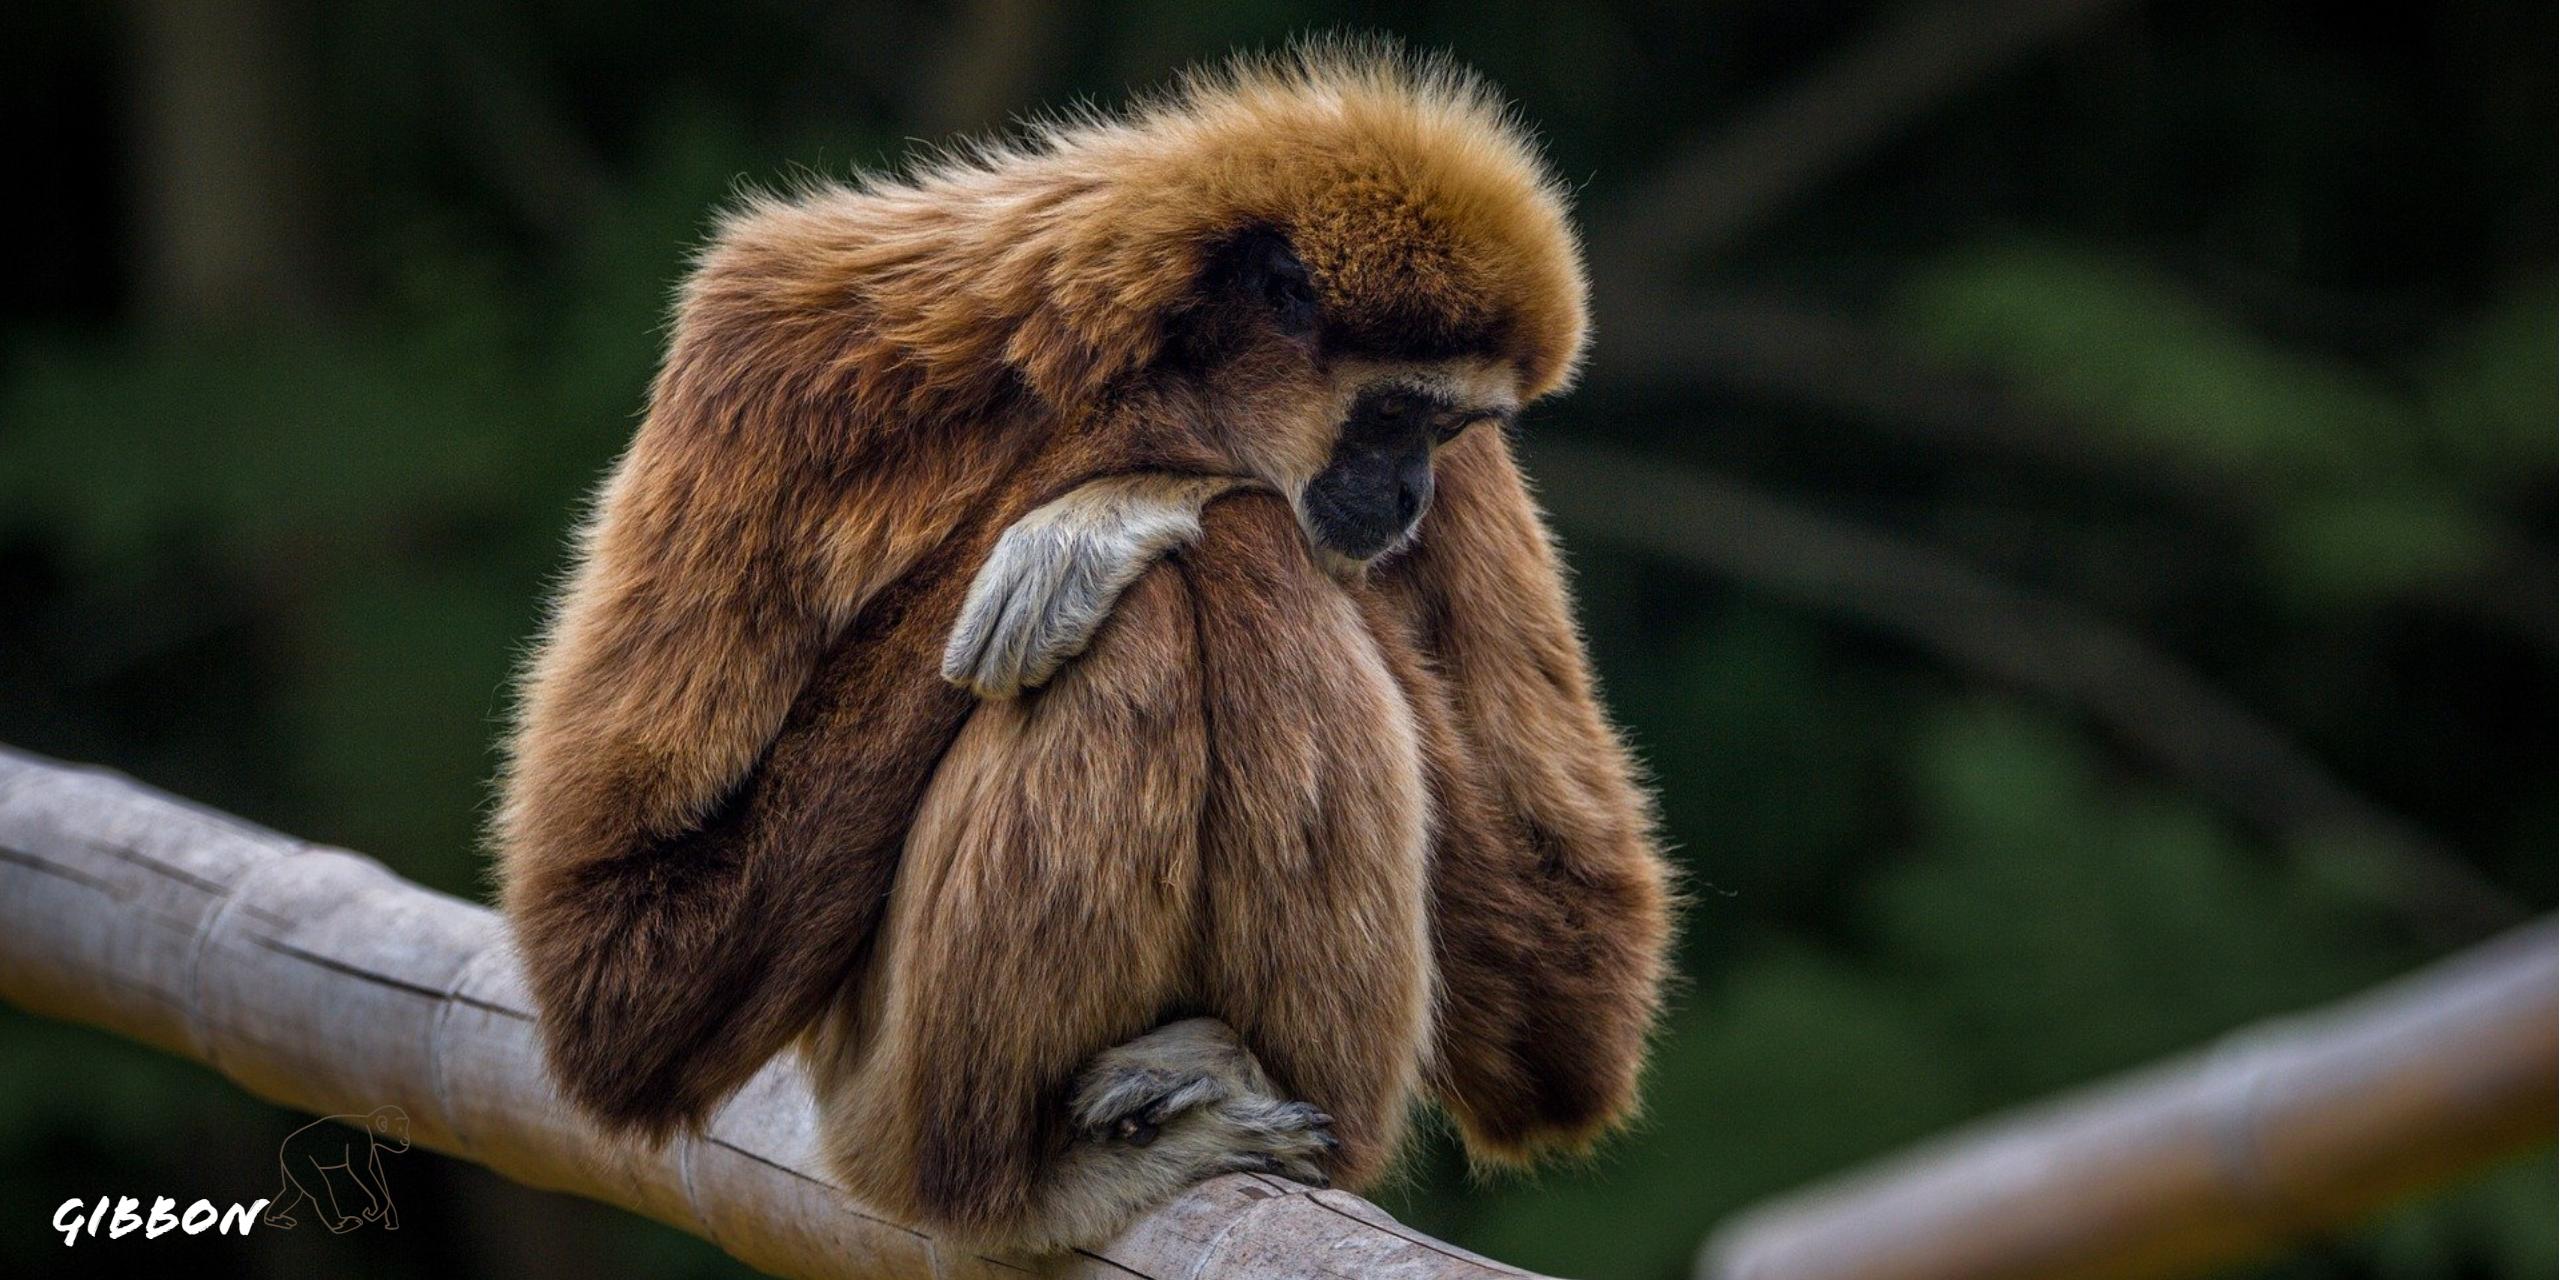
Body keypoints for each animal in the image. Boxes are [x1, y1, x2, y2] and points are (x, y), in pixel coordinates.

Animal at [494, 44, 1674, 1255]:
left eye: (1445, 428)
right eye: (1394, 414)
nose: (1407, 494)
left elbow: (1572, 994)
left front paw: (1117, 491)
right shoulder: (768, 351)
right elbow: (621, 969)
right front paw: (1142, 453)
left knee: (1248, 551)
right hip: (887, 1113)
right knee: (1193, 578)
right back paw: (1030, 1180)